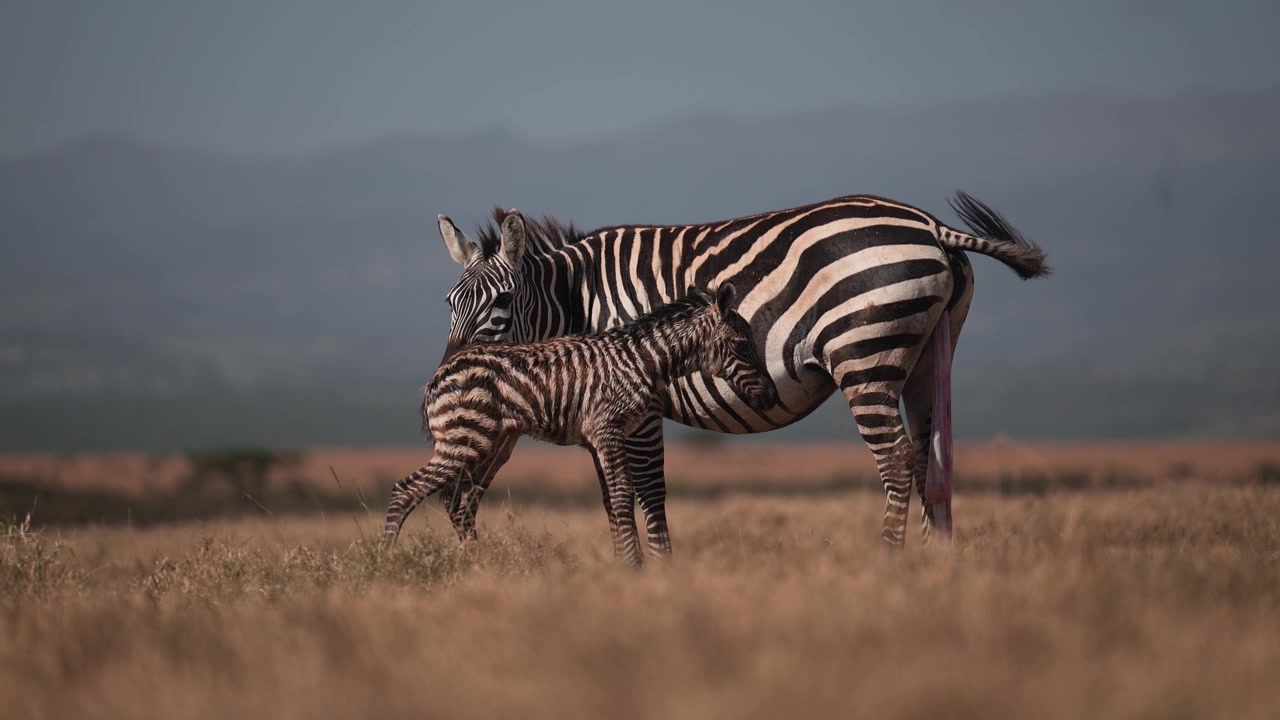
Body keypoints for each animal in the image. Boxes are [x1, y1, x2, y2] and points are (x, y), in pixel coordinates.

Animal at [383, 281, 777, 565]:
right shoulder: (607, 430)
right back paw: (387, 562)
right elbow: (621, 496)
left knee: (460, 504)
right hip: (464, 439)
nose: (772, 397)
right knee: (406, 489)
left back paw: (481, 565)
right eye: (741, 345)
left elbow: (616, 499)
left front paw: (625, 563)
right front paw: (633, 567)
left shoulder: (607, 435)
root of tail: (439, 375)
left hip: (493, 443)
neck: (645, 360)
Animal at [431, 192, 1050, 551]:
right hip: (927, 354)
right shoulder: (595, 413)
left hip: (864, 357)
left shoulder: (639, 403)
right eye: (449, 303)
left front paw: (655, 579)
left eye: (501, 302)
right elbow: (614, 500)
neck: (576, 303)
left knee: (897, 462)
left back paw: (889, 565)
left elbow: (648, 493)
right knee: (932, 463)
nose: (449, 376)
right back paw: (932, 570)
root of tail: (929, 225)